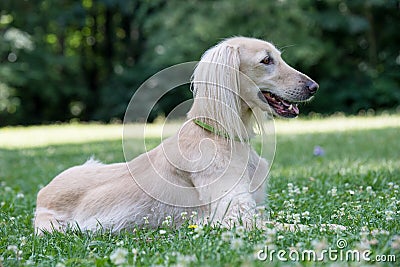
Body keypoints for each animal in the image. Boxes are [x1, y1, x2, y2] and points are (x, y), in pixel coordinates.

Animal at [36, 36, 320, 233]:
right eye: (266, 60)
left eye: (278, 57)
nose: (313, 86)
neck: (221, 134)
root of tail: (41, 195)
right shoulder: (233, 218)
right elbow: (300, 226)